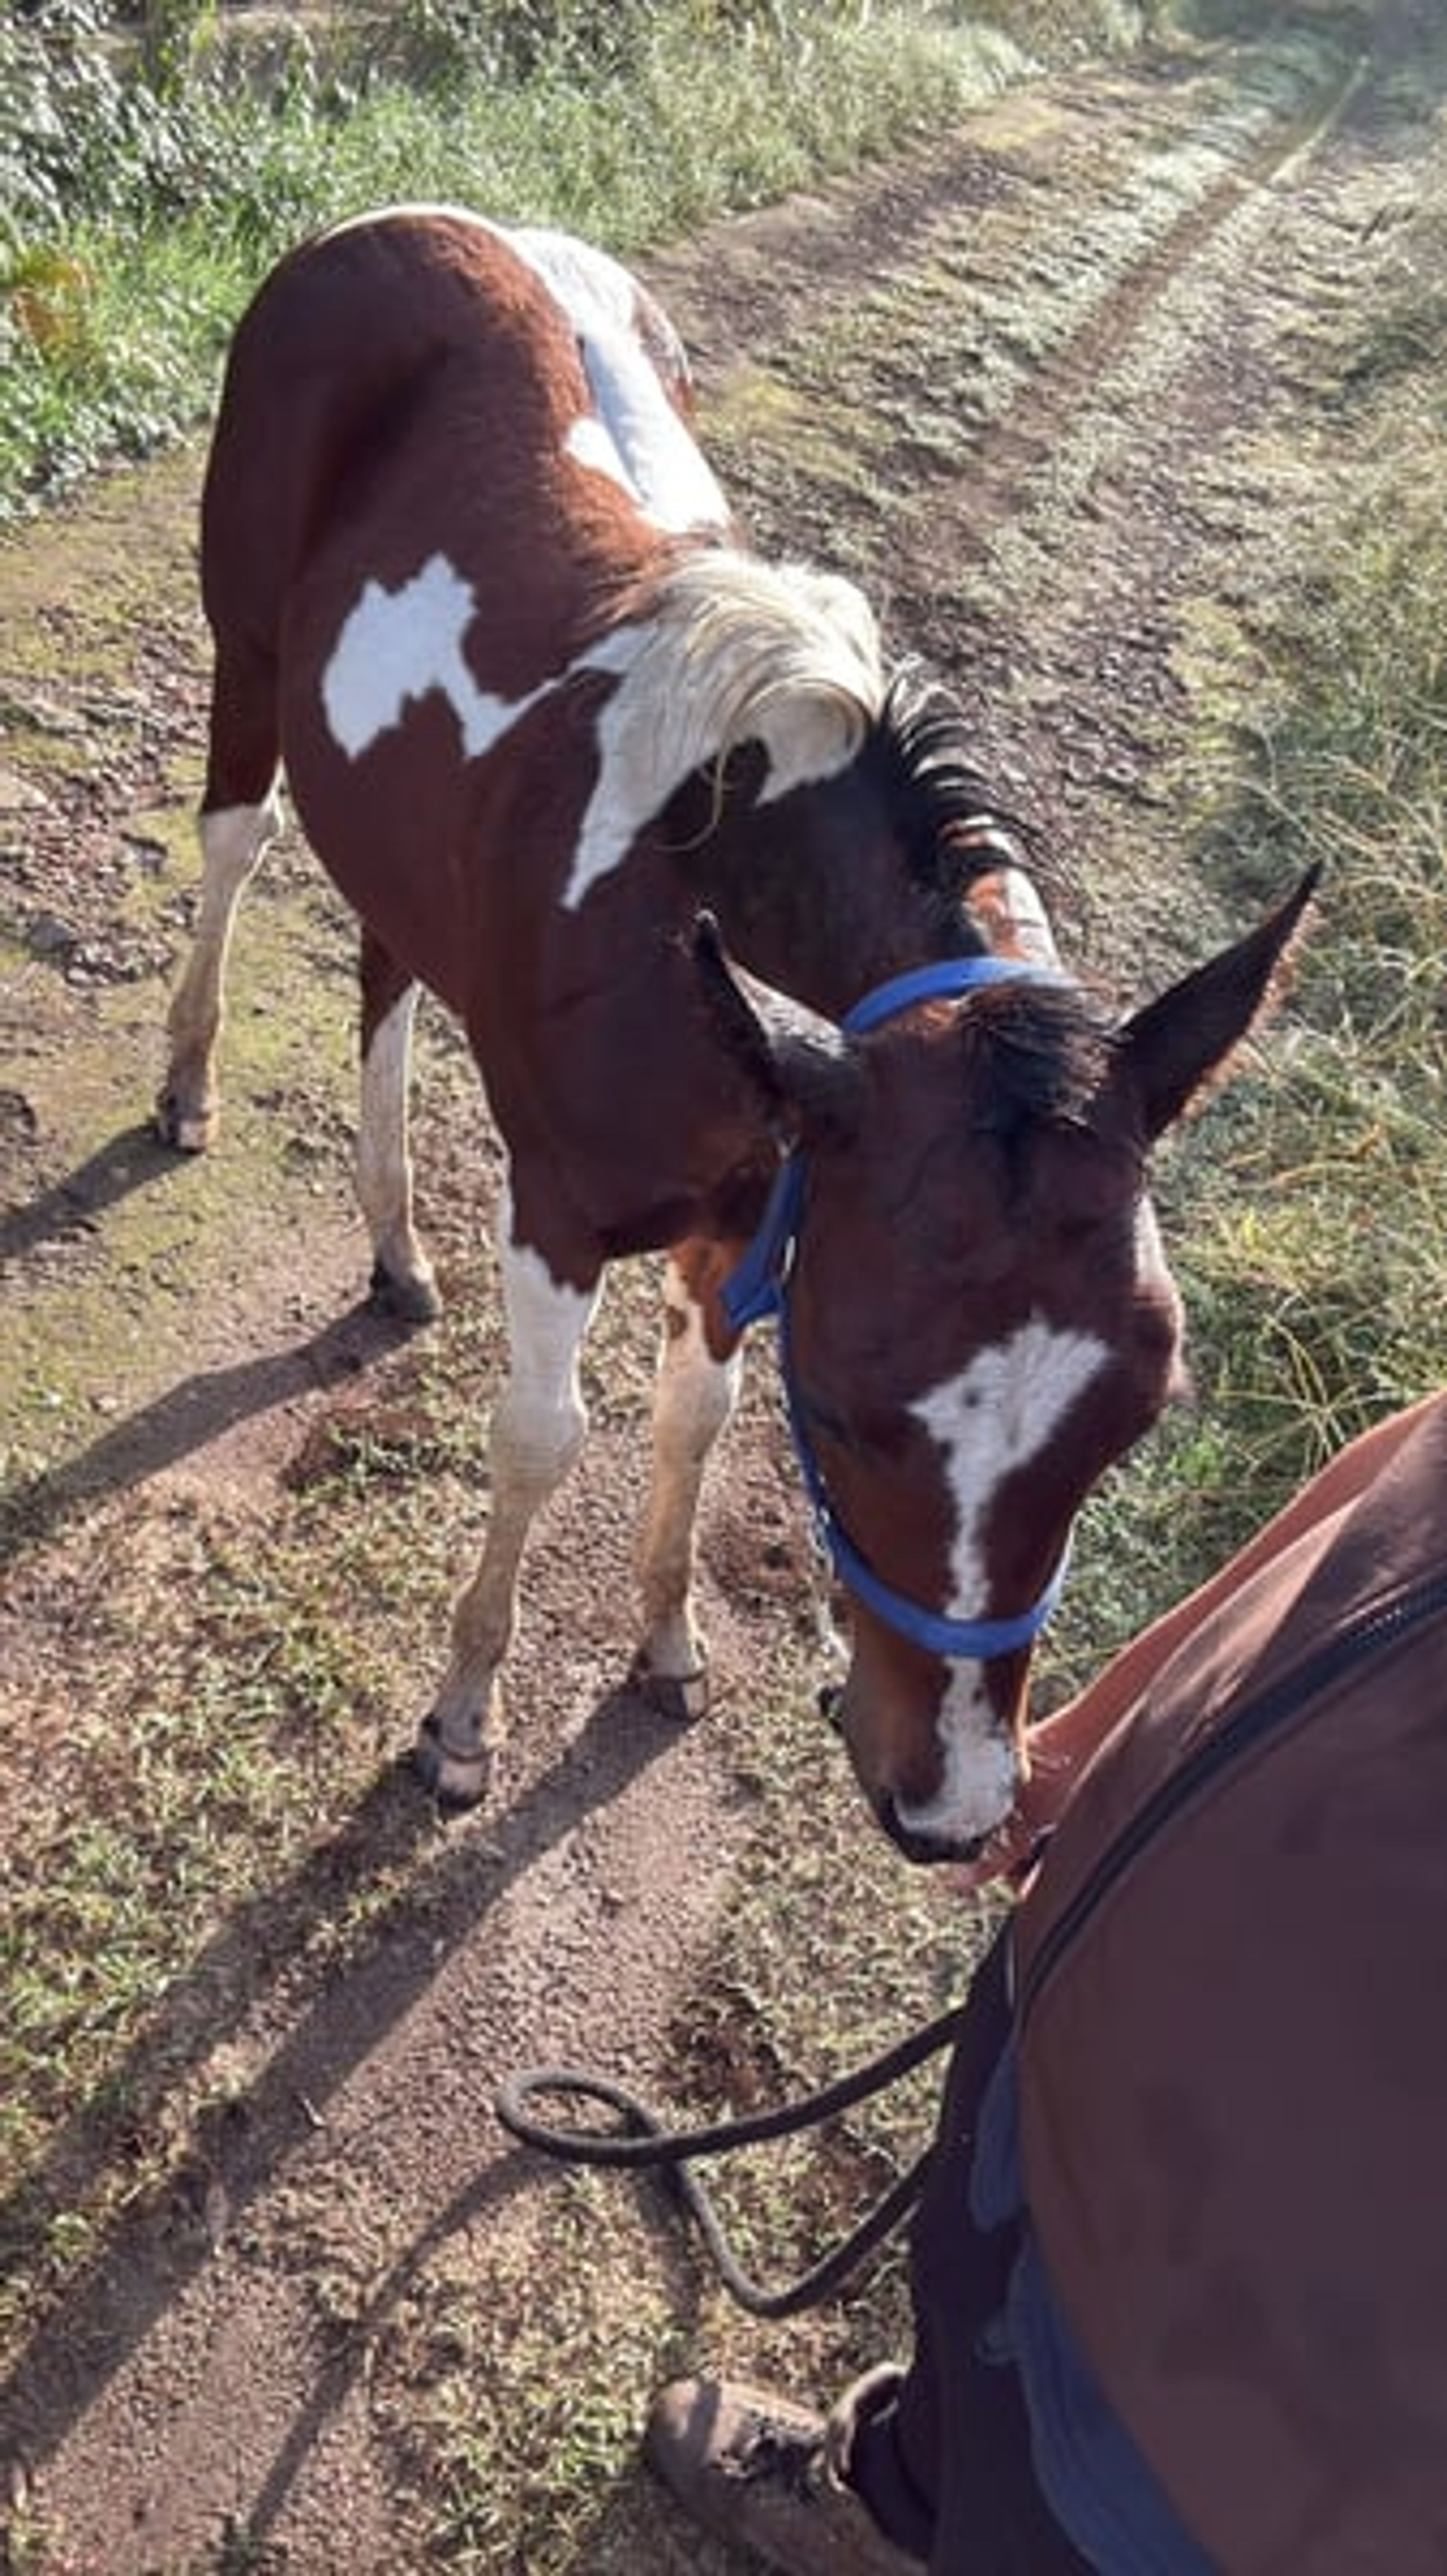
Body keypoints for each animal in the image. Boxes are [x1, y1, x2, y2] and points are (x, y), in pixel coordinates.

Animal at [158, 206, 1314, 1862]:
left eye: (1132, 1421)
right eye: (839, 1413)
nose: (953, 1809)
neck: (695, 882)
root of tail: (411, 223)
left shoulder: (751, 1212)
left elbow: (689, 1419)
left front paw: (667, 1637)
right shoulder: (561, 1209)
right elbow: (544, 1434)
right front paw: (461, 1721)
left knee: (391, 968)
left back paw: (393, 1243)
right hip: (248, 658)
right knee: (239, 848)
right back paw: (187, 1080)